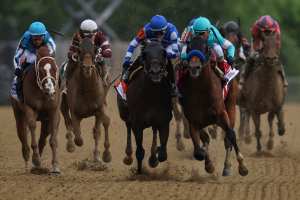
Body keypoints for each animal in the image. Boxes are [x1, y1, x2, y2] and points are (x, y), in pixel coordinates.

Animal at [10, 45, 61, 173]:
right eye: (41, 70)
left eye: (55, 69)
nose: (50, 89)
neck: (42, 93)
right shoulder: (30, 108)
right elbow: (32, 126)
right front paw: (37, 159)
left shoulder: (53, 111)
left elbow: (53, 139)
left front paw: (55, 166)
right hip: (19, 115)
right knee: (23, 137)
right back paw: (28, 163)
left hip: (45, 120)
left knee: (42, 138)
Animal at [118, 40, 173, 173]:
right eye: (145, 54)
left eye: (163, 52)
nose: (155, 72)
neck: (151, 96)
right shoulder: (137, 123)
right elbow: (140, 151)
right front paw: (139, 172)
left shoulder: (164, 121)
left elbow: (163, 154)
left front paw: (154, 157)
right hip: (125, 115)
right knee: (128, 127)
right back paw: (128, 156)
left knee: (154, 131)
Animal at [180, 37, 248, 177]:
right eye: (189, 47)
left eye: (206, 47)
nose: (194, 67)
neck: (201, 90)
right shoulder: (193, 121)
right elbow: (199, 150)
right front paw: (209, 164)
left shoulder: (221, 114)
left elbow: (231, 135)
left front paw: (242, 166)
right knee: (206, 139)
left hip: (231, 105)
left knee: (228, 137)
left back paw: (227, 167)